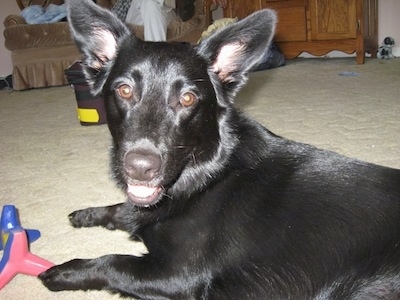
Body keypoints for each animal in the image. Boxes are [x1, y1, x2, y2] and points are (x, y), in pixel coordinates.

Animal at [39, 0, 400, 298]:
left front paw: (64, 271)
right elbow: (124, 210)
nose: (140, 167)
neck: (208, 175)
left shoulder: (178, 275)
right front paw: (87, 214)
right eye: (125, 90)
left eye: (187, 99)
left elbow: (114, 261)